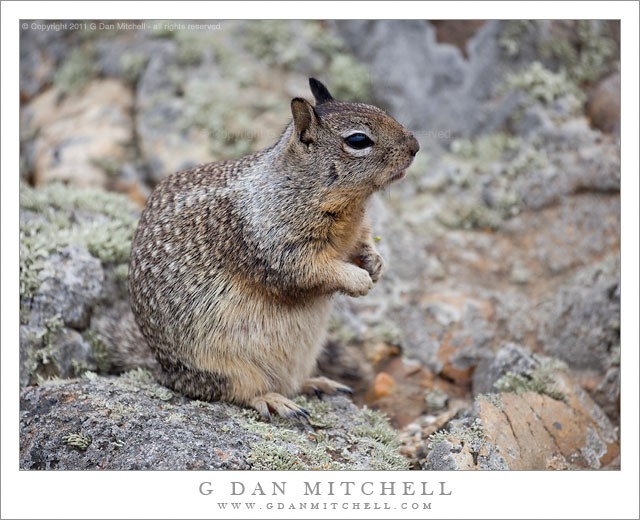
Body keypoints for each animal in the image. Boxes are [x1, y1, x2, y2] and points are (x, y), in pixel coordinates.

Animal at [129, 78, 420, 418]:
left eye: (377, 109)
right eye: (358, 140)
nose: (415, 146)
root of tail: (162, 371)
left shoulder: (356, 230)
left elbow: (362, 243)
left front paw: (375, 263)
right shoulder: (276, 247)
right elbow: (311, 270)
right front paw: (358, 280)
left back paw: (318, 383)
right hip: (226, 369)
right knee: (237, 392)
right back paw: (275, 400)